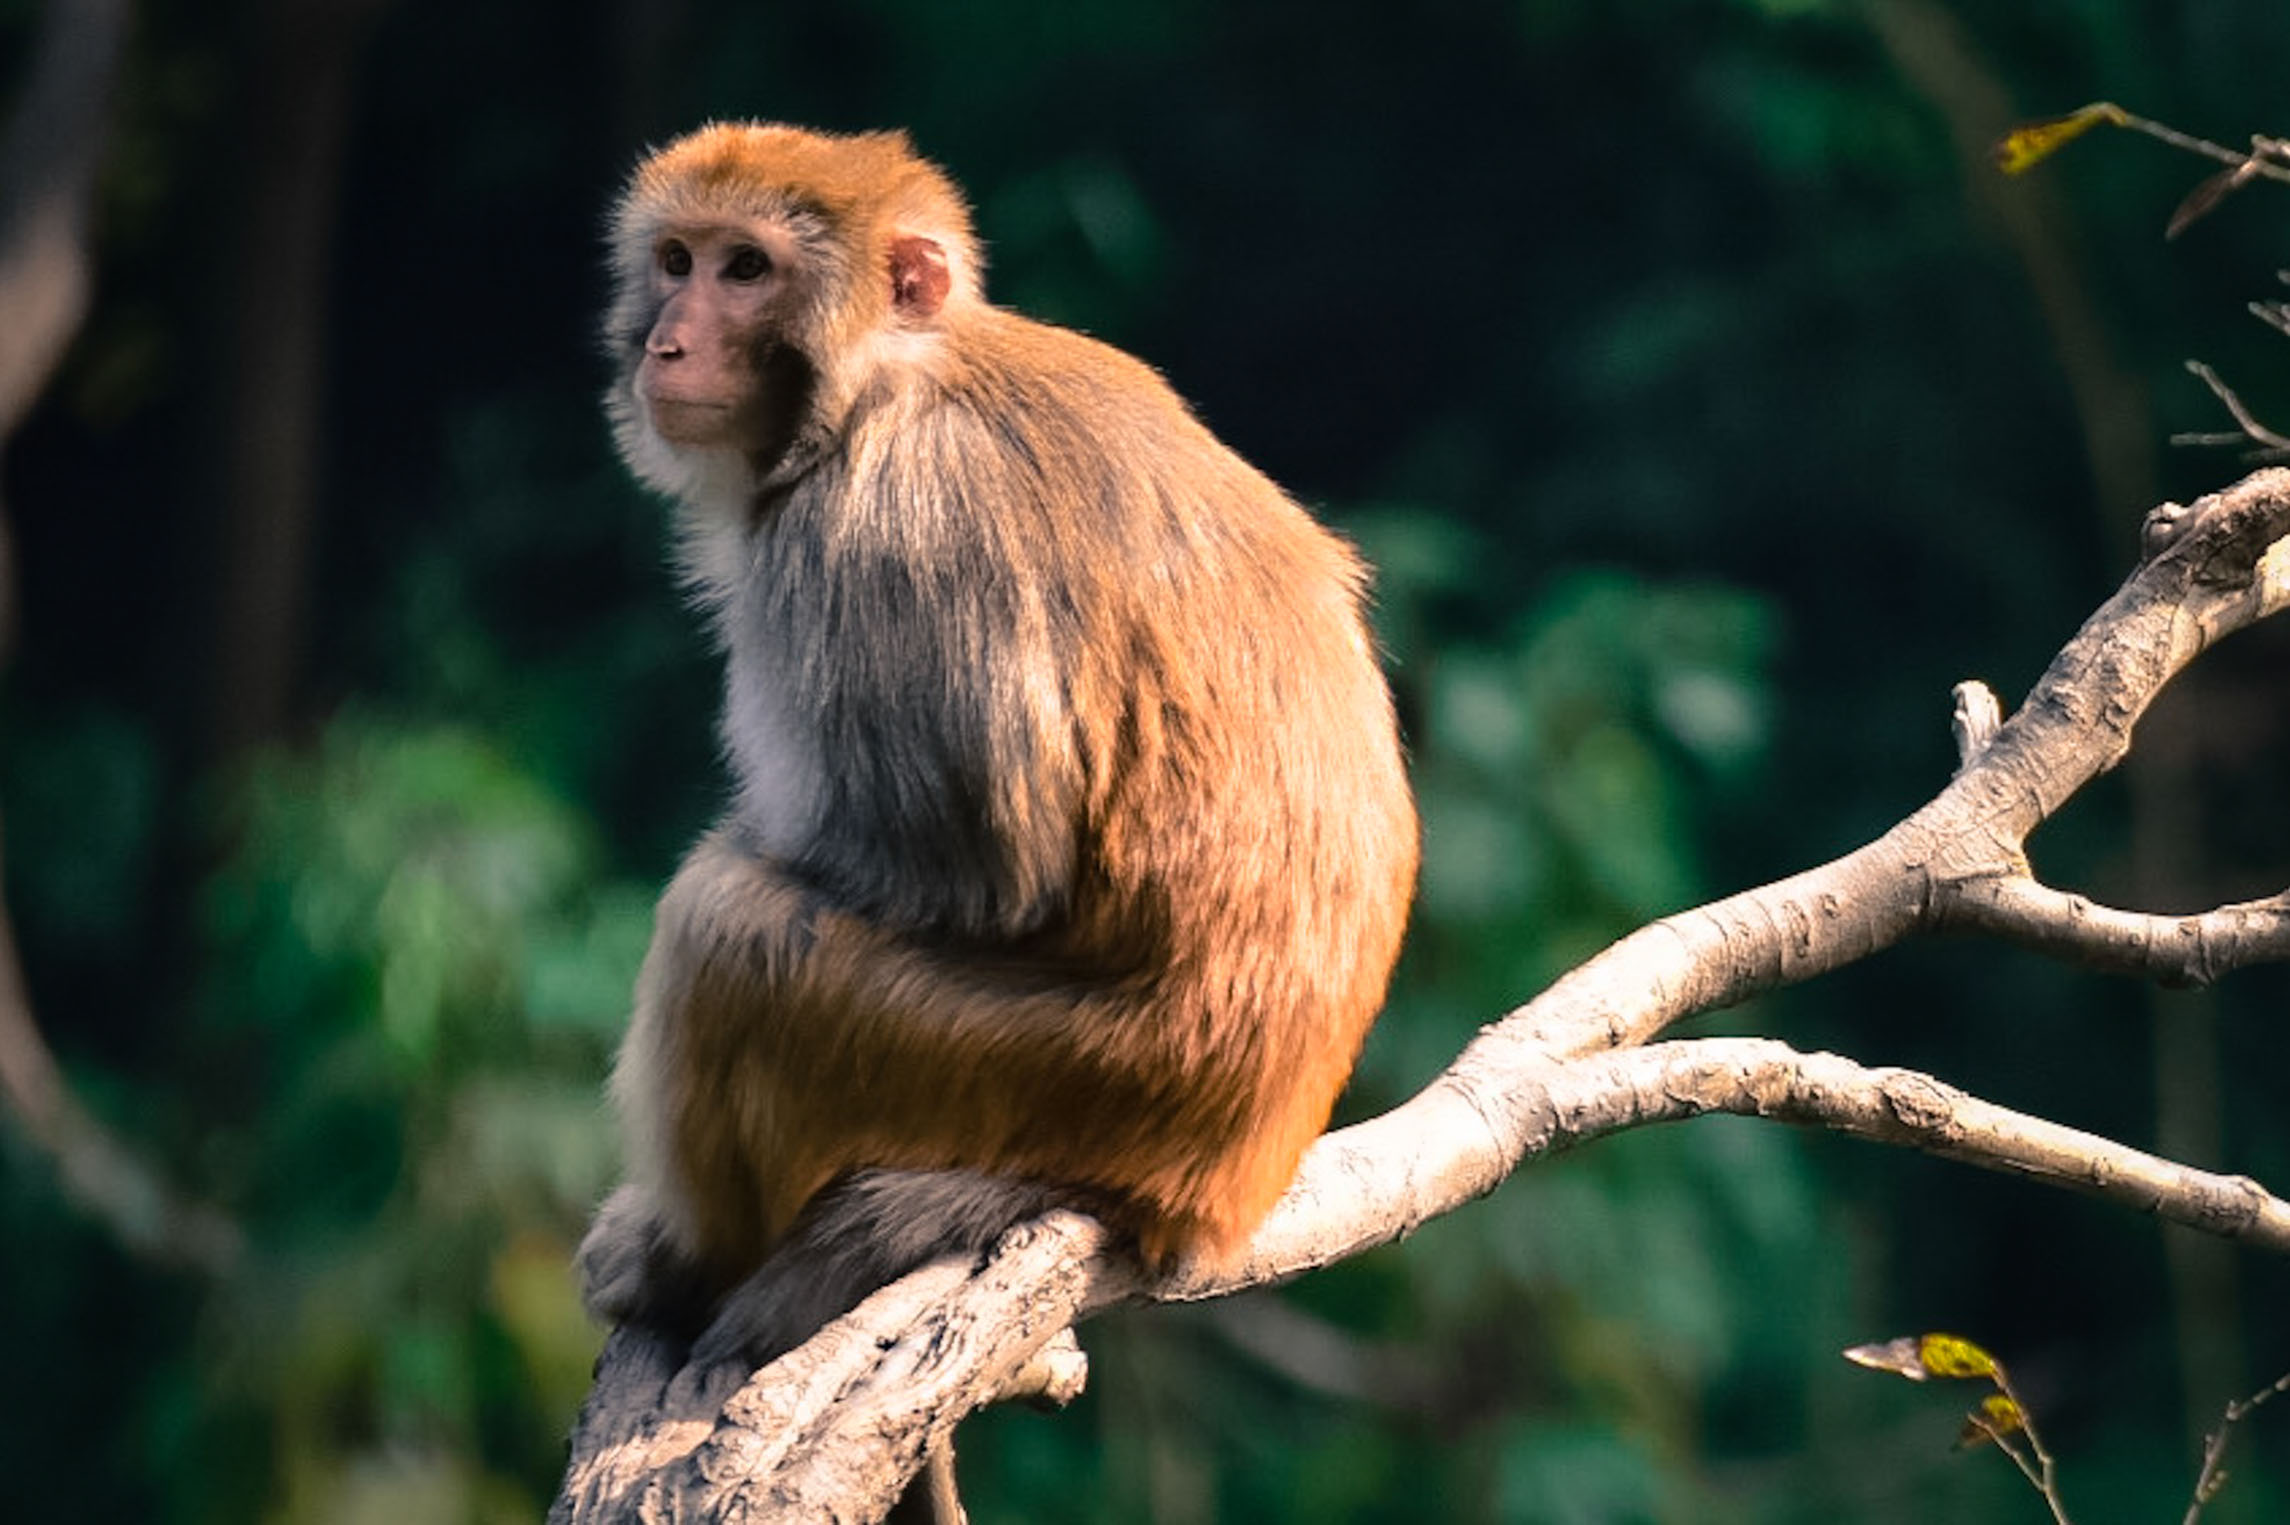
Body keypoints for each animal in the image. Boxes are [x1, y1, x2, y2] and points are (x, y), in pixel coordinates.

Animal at [577, 127, 1410, 1364]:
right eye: (676, 259)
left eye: (746, 270)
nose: (667, 343)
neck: (888, 379)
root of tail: (1217, 1191)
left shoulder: (876, 538)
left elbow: (976, 874)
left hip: (1038, 1075)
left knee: (728, 927)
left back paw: (692, 1256)